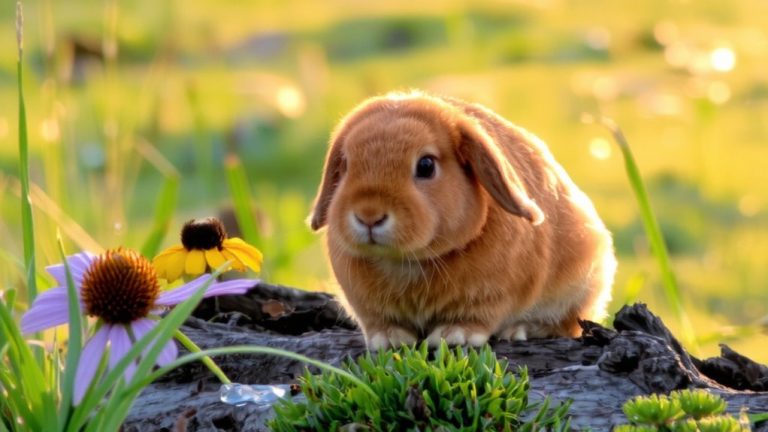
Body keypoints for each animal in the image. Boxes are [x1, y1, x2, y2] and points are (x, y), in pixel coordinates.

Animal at [309, 90, 616, 350]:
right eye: (346, 164)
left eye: (426, 165)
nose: (369, 215)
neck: (407, 262)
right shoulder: (367, 307)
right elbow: (380, 323)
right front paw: (388, 339)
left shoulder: (490, 296)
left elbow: (476, 317)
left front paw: (454, 335)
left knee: (565, 323)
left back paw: (521, 329)